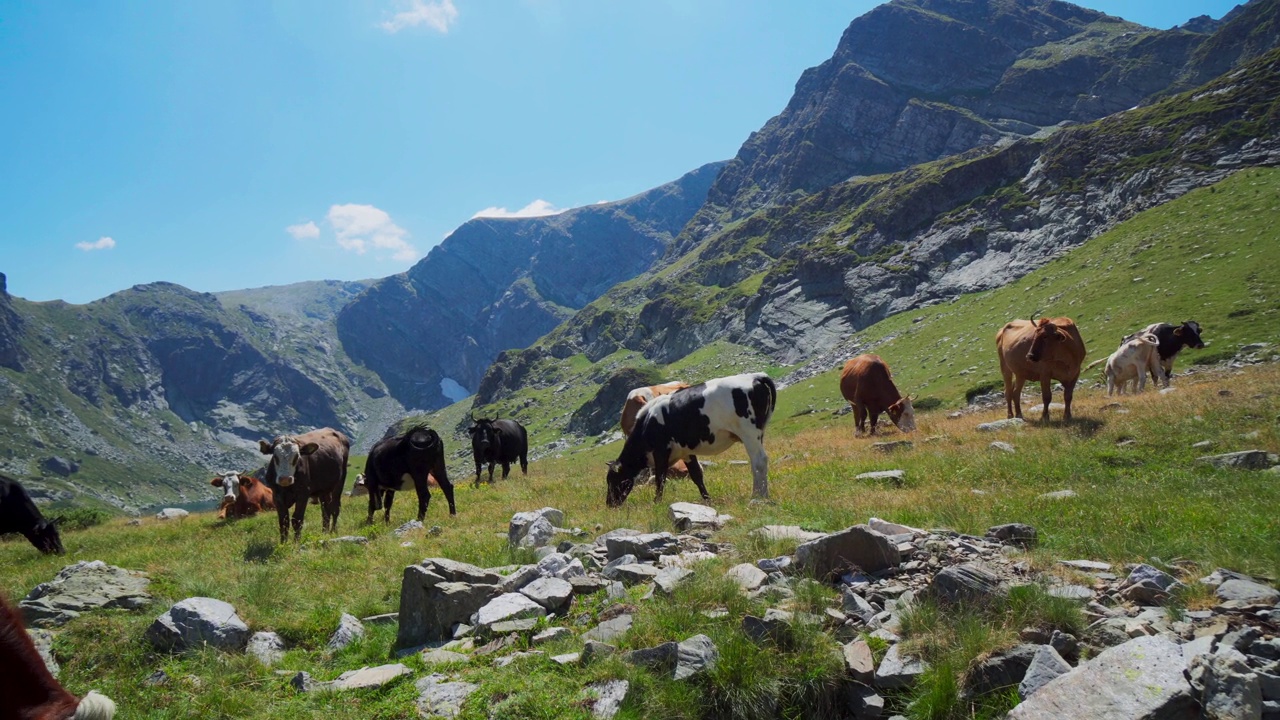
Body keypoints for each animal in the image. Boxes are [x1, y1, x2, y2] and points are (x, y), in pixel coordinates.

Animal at [604, 371, 773, 507]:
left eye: (612, 480)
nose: (610, 504)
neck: (647, 423)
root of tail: (756, 376)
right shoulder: (685, 451)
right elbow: (696, 475)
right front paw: (707, 499)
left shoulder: (661, 451)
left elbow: (660, 478)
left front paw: (656, 503)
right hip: (758, 434)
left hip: (749, 432)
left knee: (759, 461)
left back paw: (758, 495)